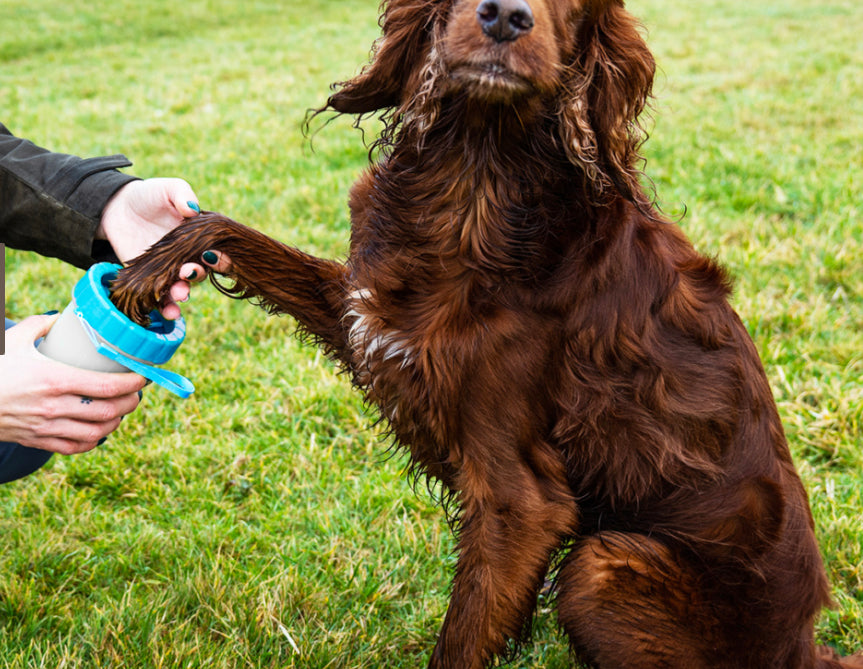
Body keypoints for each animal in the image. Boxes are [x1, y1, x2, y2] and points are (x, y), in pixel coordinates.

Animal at [113, 1, 856, 668]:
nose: (504, 17)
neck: (475, 183)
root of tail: (803, 648)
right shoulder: (364, 318)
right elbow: (230, 232)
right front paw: (149, 268)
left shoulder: (521, 501)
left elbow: (465, 635)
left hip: (602, 563)